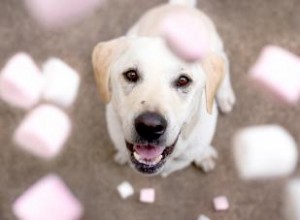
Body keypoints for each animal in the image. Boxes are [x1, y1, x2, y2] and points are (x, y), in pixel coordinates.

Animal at [92, 0, 236, 176]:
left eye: (183, 80)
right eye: (131, 74)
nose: (149, 126)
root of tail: (179, 6)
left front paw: (204, 155)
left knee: (225, 60)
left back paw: (225, 95)